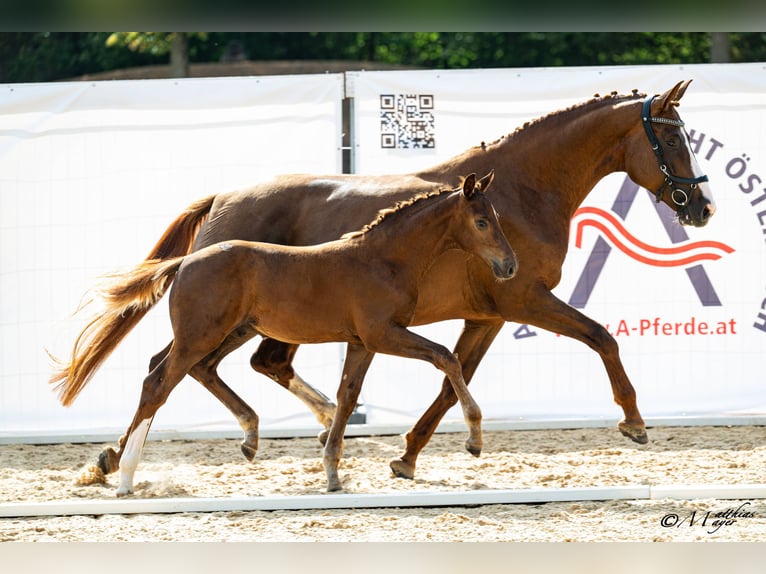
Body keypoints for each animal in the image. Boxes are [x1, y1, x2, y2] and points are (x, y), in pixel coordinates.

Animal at [53, 172, 517, 494]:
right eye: (481, 221)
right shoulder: (384, 334)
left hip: (231, 331)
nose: (510, 265)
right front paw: (475, 438)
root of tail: (184, 262)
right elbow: (446, 357)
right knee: (158, 382)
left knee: (188, 372)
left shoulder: (361, 342)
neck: (383, 258)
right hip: (200, 336)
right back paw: (126, 476)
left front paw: (332, 472)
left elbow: (347, 396)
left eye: (497, 217)